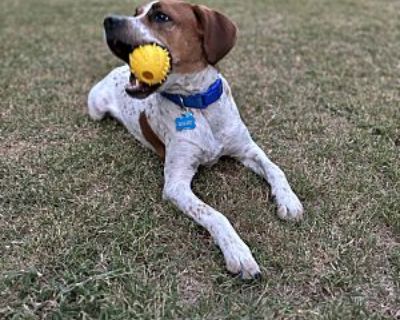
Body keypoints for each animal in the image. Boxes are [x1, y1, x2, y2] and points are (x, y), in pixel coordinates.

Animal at [88, 0, 304, 280]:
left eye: (161, 16)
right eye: (136, 12)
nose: (109, 20)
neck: (197, 104)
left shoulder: (246, 149)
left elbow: (275, 169)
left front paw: (288, 201)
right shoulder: (176, 184)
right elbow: (215, 214)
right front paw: (238, 252)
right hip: (94, 109)